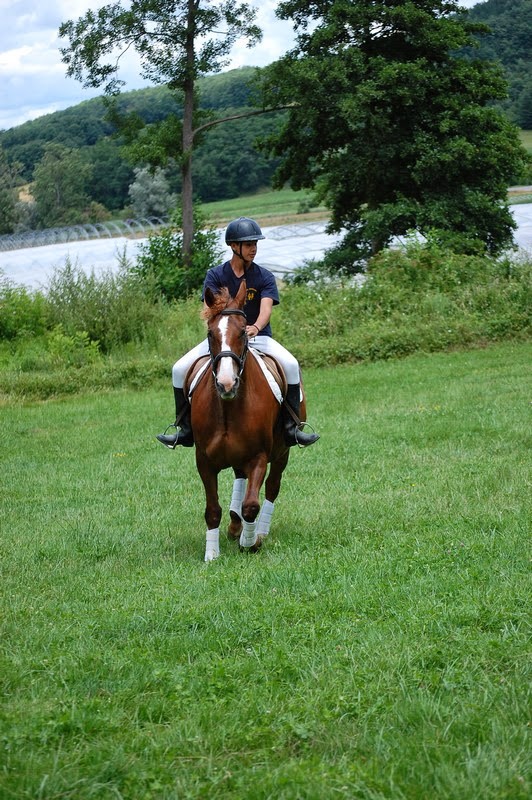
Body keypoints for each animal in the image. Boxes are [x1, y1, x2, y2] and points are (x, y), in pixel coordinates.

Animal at [187, 280, 307, 562]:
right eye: (210, 334)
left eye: (243, 332)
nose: (226, 383)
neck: (228, 408)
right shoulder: (204, 461)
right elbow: (212, 509)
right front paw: (212, 554)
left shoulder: (258, 456)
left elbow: (251, 504)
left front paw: (250, 543)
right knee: (240, 480)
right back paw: (234, 525)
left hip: (282, 453)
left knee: (272, 488)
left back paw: (257, 531)